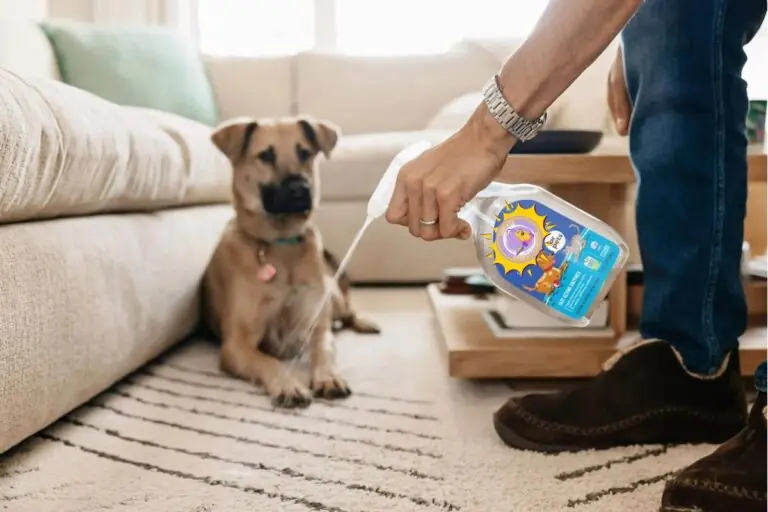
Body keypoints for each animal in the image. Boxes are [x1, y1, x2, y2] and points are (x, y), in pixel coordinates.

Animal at [202, 116, 380, 408]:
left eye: (305, 153)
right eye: (265, 155)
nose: (300, 189)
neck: (281, 244)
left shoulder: (316, 327)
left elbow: (322, 351)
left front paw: (328, 377)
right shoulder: (236, 346)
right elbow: (268, 361)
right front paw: (287, 384)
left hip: (333, 297)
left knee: (347, 311)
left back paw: (364, 322)